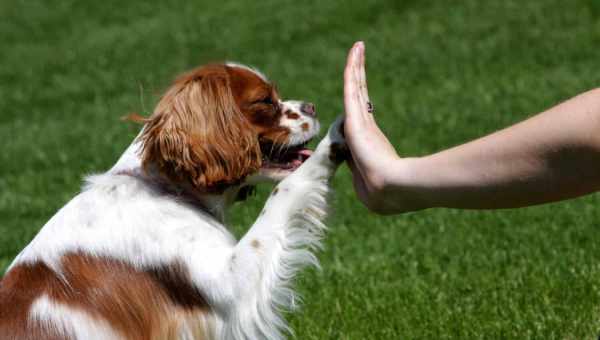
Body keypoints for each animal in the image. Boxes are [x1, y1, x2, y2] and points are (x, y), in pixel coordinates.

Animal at [0, 62, 346, 338]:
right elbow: (285, 190)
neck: (163, 189)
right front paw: (334, 139)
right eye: (264, 101)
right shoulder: (231, 283)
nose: (311, 106)